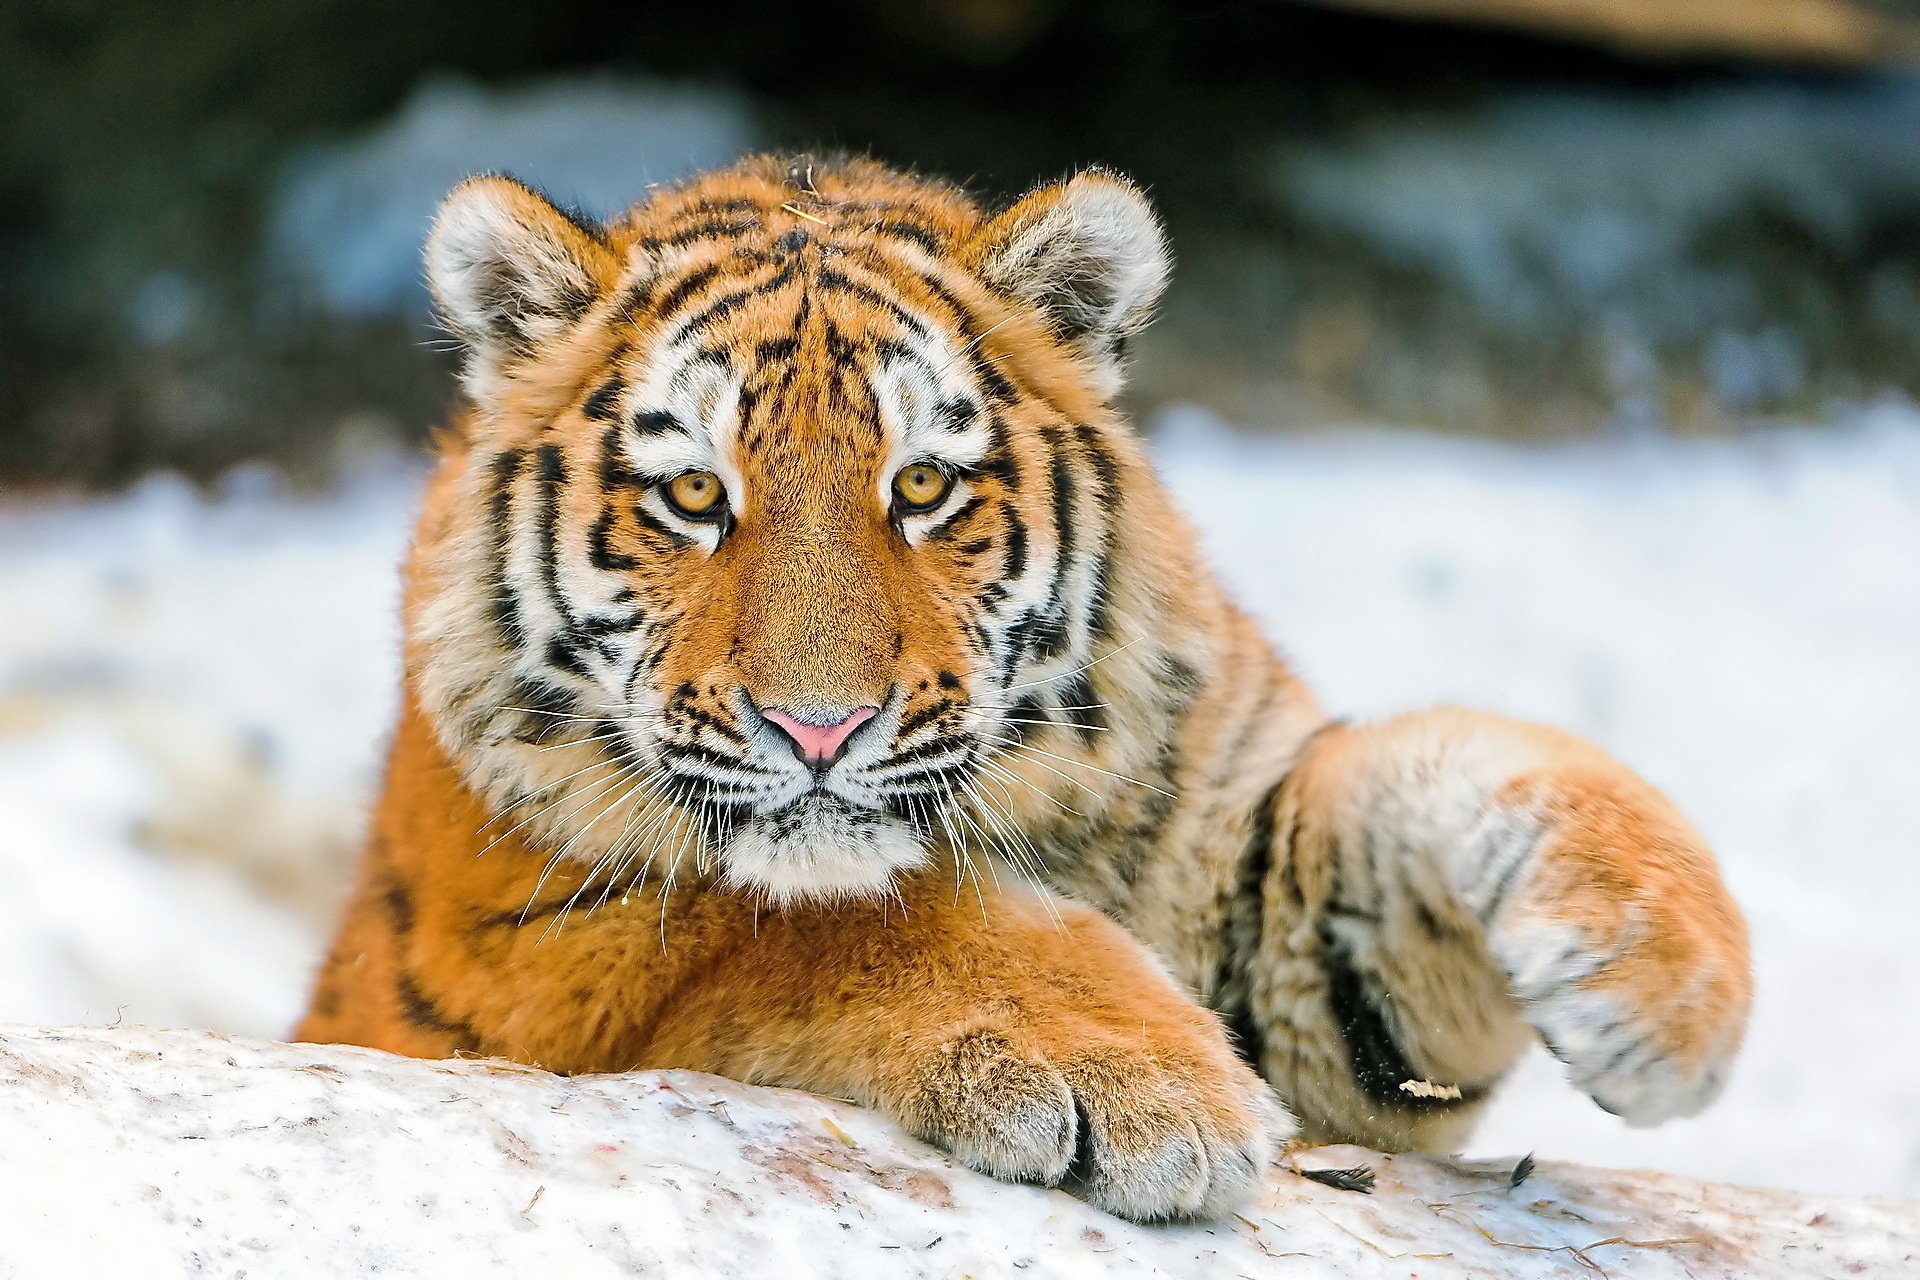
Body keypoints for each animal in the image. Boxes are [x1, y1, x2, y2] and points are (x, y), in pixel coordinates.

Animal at [297, 154, 1751, 1223]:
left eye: (924, 486)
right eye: (696, 495)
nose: (818, 728)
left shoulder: (1267, 895)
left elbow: (1447, 761)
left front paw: (1667, 980)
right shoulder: (532, 953)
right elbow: (823, 918)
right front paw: (1141, 1081)